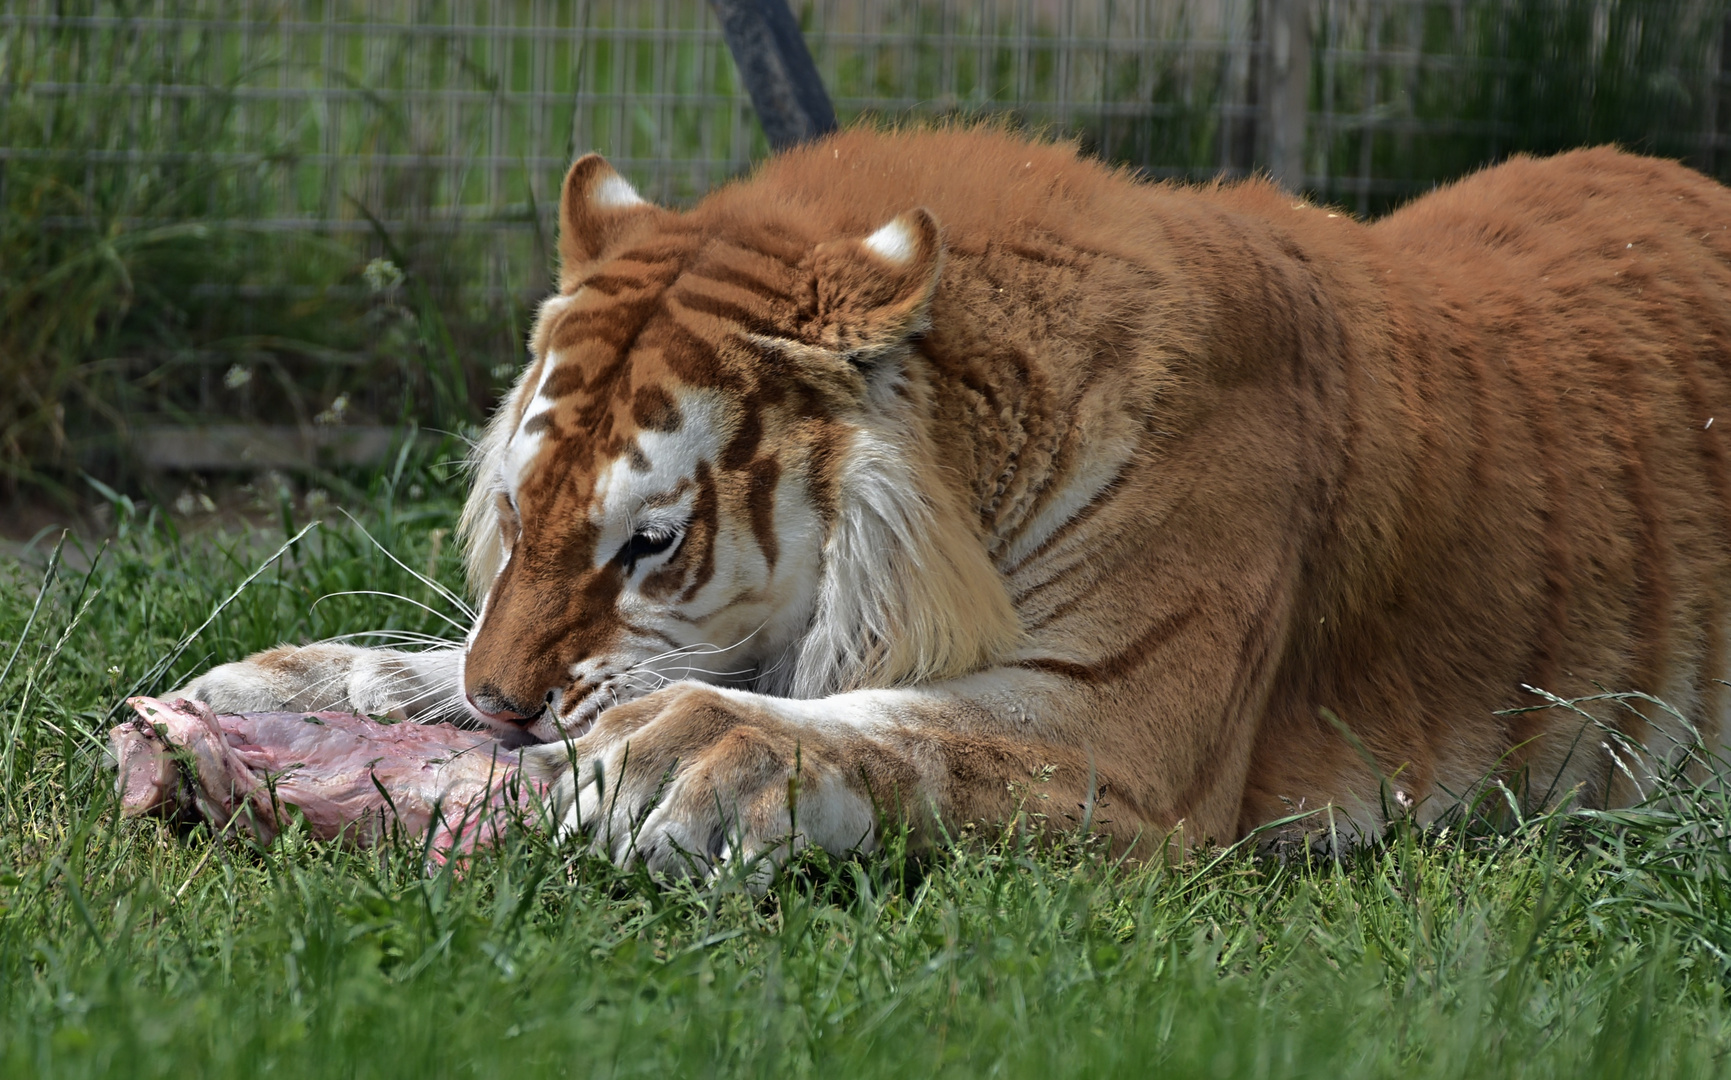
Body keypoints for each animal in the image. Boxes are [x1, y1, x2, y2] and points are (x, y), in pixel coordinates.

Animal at [175, 126, 1731, 872]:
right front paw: (273, 686)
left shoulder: (1124, 729)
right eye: (515, 516)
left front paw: (676, 756)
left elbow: (892, 730)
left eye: (651, 543)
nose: (501, 714)